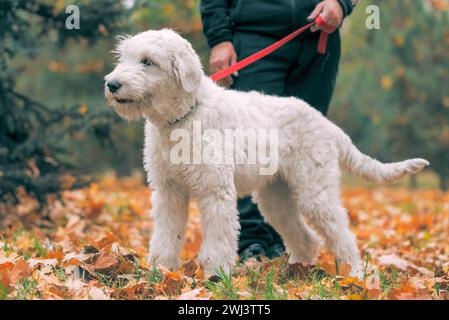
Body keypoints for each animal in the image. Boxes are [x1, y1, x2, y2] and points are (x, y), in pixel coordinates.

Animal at [104, 28, 428, 276]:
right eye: (125, 58)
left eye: (148, 61)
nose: (112, 84)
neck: (183, 118)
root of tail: (325, 122)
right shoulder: (168, 192)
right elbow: (165, 236)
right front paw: (159, 271)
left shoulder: (215, 192)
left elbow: (218, 240)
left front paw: (214, 275)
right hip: (276, 197)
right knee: (306, 238)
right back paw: (296, 272)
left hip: (315, 192)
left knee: (342, 234)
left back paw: (355, 274)